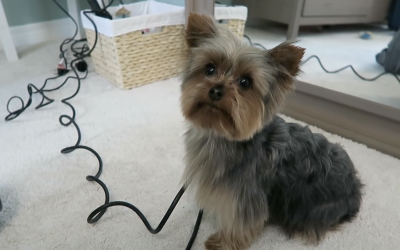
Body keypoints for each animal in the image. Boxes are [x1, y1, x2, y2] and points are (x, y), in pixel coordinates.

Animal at [180, 13, 364, 250]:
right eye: (209, 69)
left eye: (245, 82)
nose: (216, 90)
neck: (221, 136)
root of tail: (355, 186)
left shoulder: (247, 196)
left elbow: (241, 224)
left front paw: (223, 243)